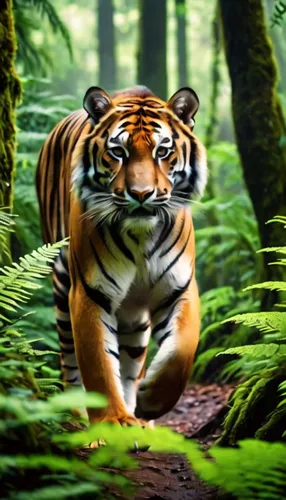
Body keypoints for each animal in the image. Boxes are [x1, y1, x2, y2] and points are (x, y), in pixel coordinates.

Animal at [35, 85, 207, 426]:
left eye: (162, 152)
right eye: (118, 152)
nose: (141, 194)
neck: (141, 236)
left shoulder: (179, 287)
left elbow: (181, 351)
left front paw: (149, 403)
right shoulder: (89, 292)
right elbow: (98, 365)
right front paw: (112, 422)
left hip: (134, 318)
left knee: (130, 364)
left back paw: (138, 417)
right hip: (61, 281)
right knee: (69, 360)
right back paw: (76, 417)